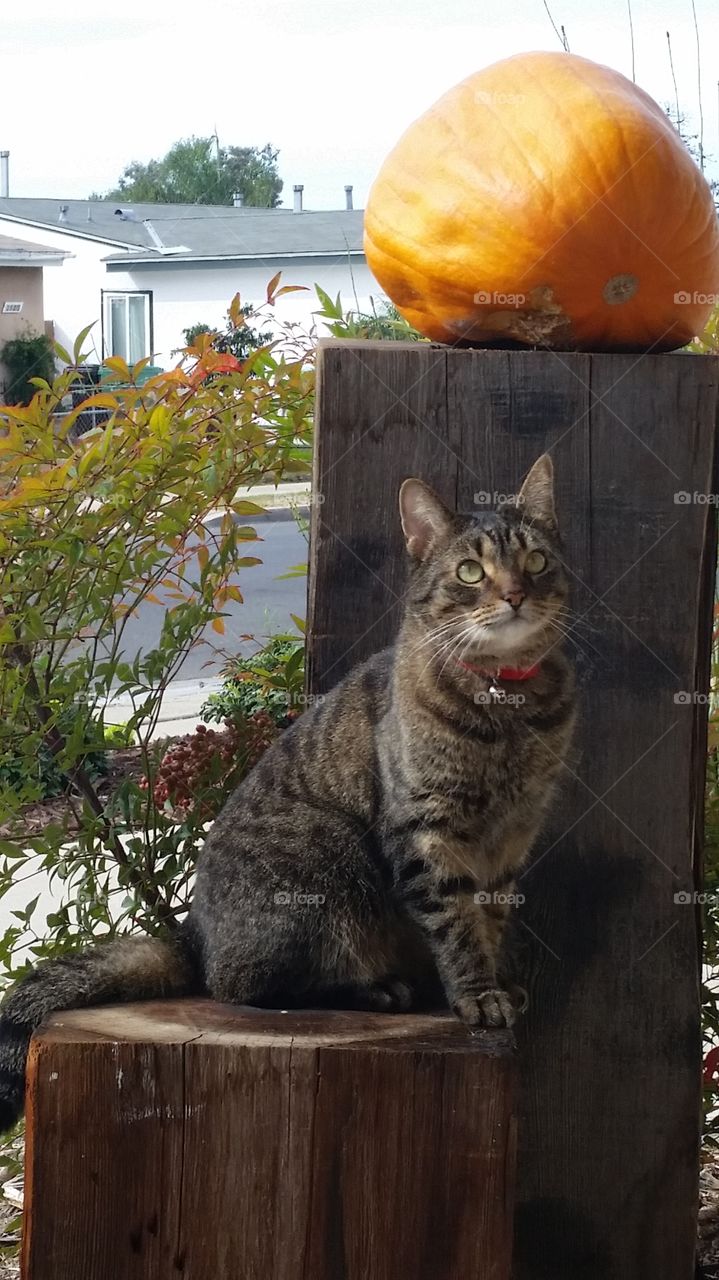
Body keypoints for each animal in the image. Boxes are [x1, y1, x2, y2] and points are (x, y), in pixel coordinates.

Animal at [0, 453, 573, 1131]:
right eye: (469, 571)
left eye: (535, 561)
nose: (514, 594)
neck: (508, 710)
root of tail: (194, 936)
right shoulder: (427, 832)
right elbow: (457, 925)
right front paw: (477, 994)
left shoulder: (512, 839)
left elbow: (489, 918)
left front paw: (496, 979)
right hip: (328, 852)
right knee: (246, 986)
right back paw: (378, 988)